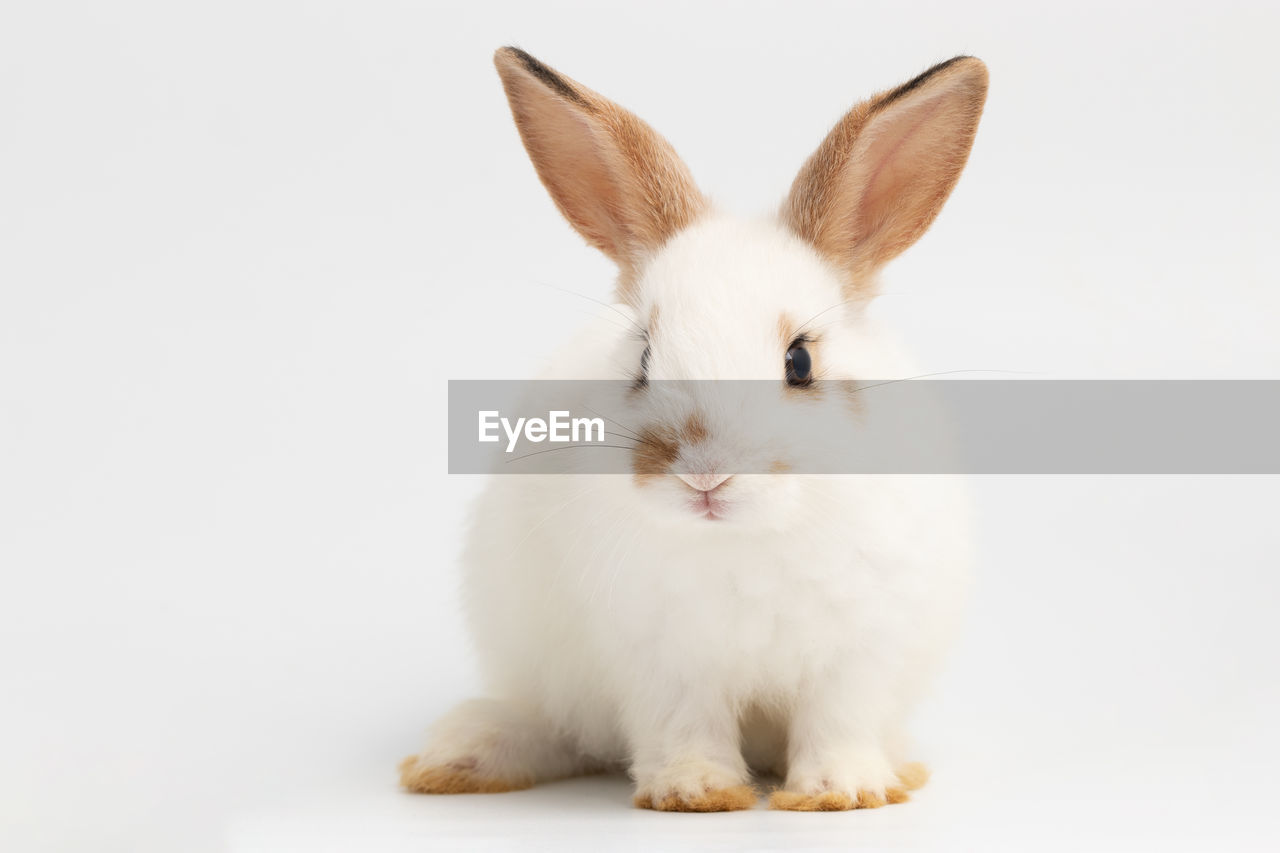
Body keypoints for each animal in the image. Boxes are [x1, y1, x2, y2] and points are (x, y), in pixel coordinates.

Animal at [399, 48, 988, 809]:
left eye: (800, 360)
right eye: (645, 356)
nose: (704, 473)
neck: (742, 540)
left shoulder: (856, 655)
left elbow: (838, 722)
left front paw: (840, 792)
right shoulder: (662, 660)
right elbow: (685, 726)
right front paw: (696, 793)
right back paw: (455, 758)